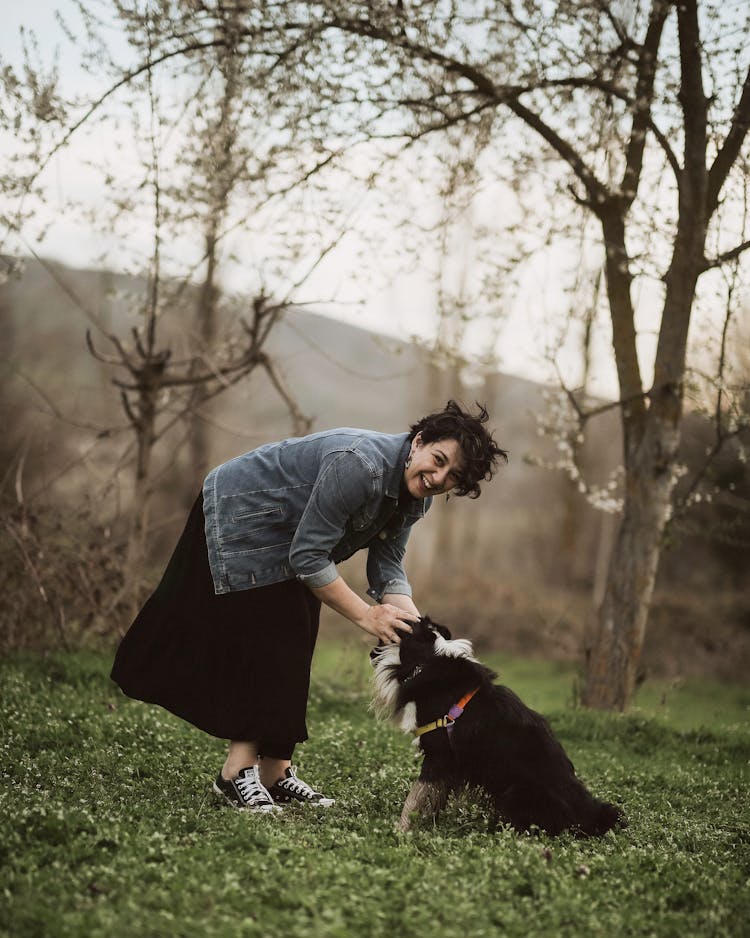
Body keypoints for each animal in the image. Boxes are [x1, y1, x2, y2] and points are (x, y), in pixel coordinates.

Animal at [372, 616, 628, 832]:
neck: (428, 660)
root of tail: (589, 815)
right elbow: (431, 798)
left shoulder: (440, 755)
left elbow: (416, 797)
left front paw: (402, 830)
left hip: (517, 791)